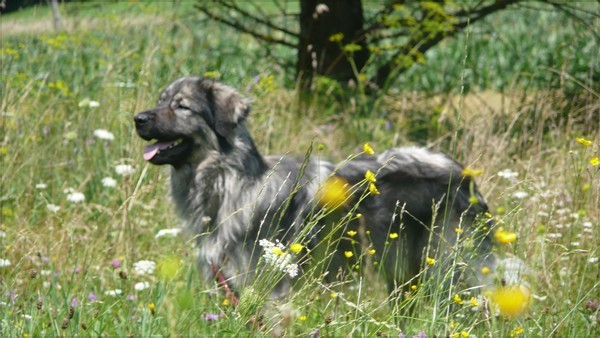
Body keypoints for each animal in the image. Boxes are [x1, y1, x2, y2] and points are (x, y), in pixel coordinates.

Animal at [135, 76, 496, 298]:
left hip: (451, 267)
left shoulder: (271, 289)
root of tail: (462, 173)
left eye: (181, 106)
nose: (138, 118)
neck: (232, 182)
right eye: (160, 101)